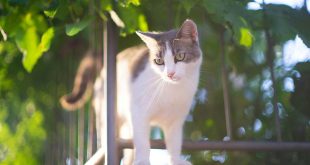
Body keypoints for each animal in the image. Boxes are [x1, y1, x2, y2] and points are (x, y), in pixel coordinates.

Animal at [60, 18, 203, 164]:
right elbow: (142, 140)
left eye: (180, 56)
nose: (170, 74)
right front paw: (142, 160)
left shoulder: (175, 120)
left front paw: (175, 159)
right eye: (159, 61)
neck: (171, 89)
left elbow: (174, 142)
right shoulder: (138, 111)